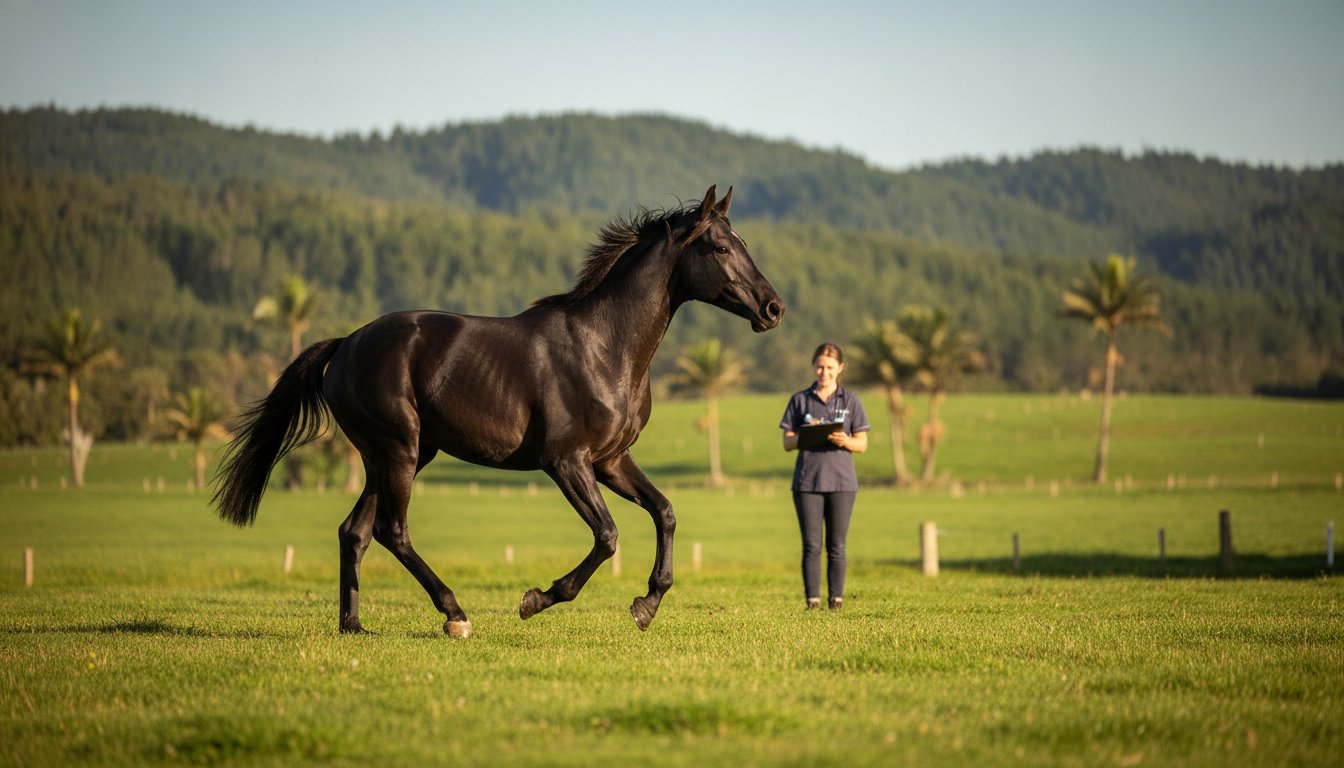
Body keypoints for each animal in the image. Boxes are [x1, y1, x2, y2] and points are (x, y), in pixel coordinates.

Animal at [212, 186, 785, 638]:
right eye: (718, 246)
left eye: (742, 243)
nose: (773, 308)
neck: (604, 347)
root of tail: (345, 345)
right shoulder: (566, 462)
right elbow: (607, 536)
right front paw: (537, 599)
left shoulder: (611, 461)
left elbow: (665, 512)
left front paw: (646, 604)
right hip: (399, 450)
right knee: (391, 531)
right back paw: (454, 614)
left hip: (392, 456)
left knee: (354, 532)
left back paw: (353, 626)